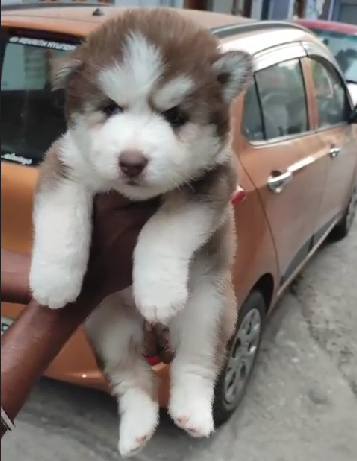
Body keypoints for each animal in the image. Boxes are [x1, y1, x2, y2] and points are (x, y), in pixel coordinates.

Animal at [29, 7, 252, 456]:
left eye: (176, 116)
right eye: (110, 107)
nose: (131, 161)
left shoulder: (213, 184)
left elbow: (164, 228)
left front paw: (158, 291)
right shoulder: (63, 162)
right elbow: (63, 215)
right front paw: (54, 280)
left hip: (210, 308)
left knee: (195, 364)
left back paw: (193, 414)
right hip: (106, 326)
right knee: (131, 379)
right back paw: (137, 429)